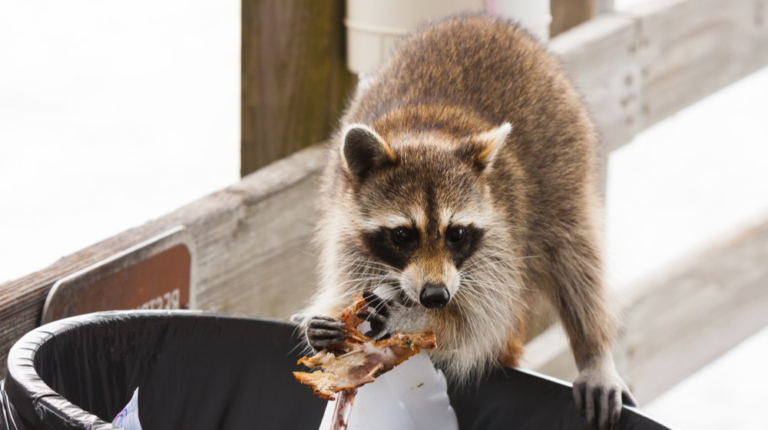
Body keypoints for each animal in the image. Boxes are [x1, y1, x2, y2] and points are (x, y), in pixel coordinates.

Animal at [301, 14, 635, 429]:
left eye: (456, 233)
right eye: (403, 235)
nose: (435, 296)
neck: (424, 133)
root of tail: (483, 19)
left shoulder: (500, 243)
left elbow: (475, 325)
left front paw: (414, 319)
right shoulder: (346, 228)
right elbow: (347, 284)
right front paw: (327, 323)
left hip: (564, 164)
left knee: (575, 254)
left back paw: (593, 352)